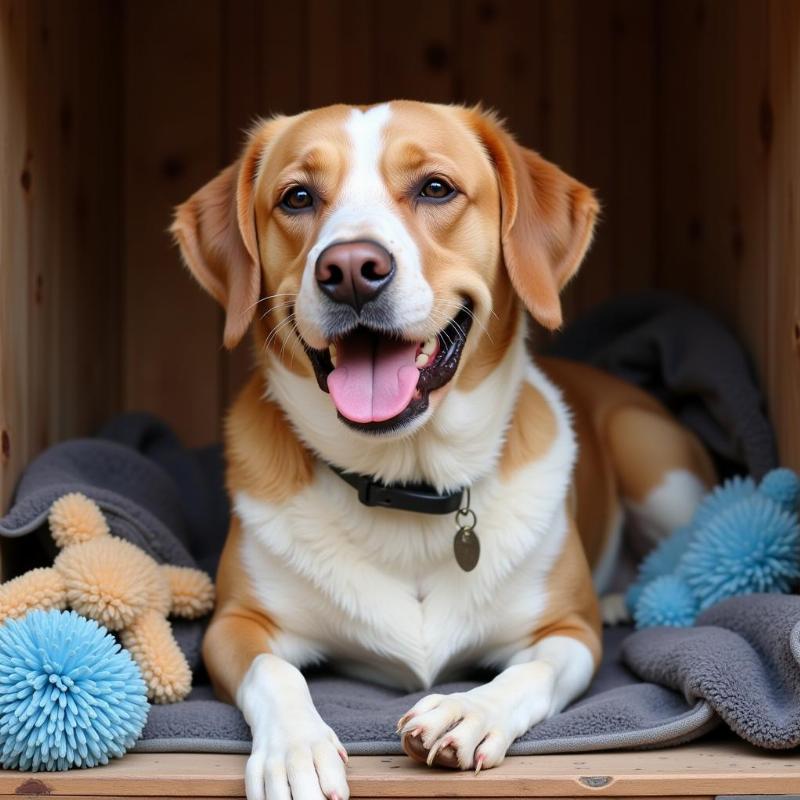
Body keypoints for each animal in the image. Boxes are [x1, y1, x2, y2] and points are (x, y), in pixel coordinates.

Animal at [172, 101, 716, 800]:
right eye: (297, 197)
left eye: (435, 188)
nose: (351, 269)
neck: (408, 482)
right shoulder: (235, 624)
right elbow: (275, 673)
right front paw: (296, 748)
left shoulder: (570, 634)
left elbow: (530, 673)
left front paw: (469, 709)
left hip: (656, 466)